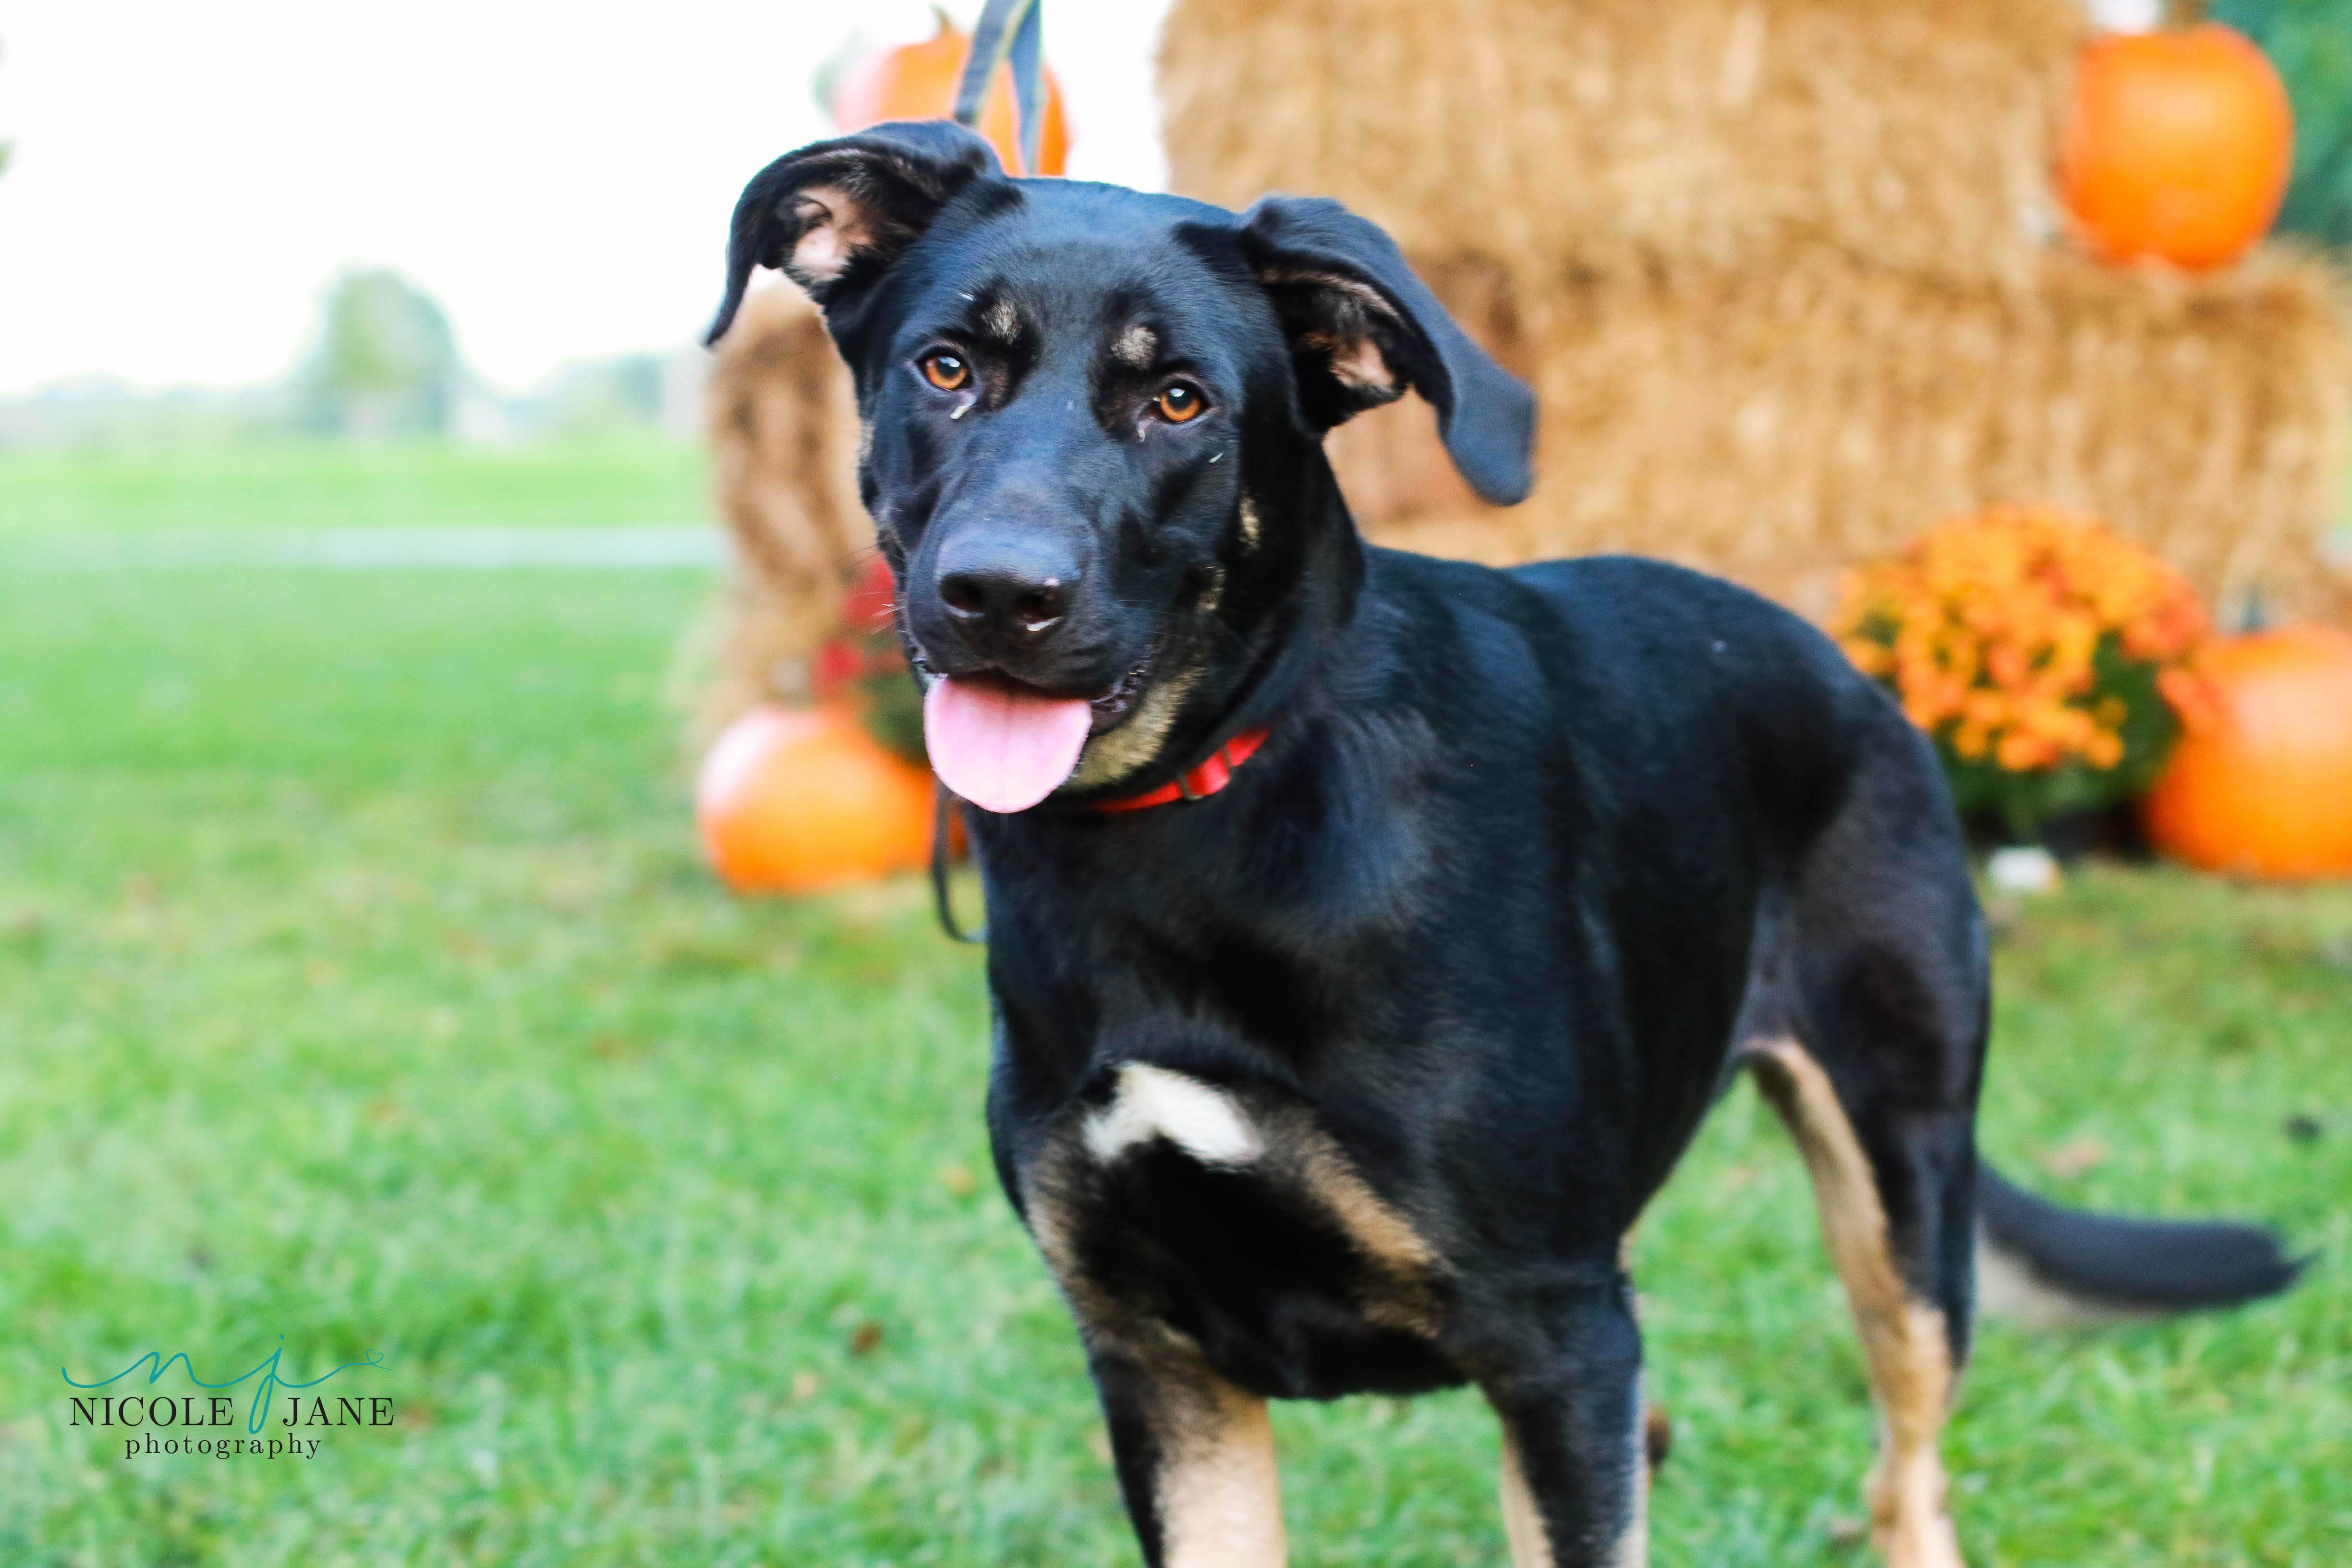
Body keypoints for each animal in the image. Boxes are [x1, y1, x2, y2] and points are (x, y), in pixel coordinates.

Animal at [710, 122, 2295, 1568]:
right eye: (945, 368)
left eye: (1177, 399)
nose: (996, 594)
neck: (1203, 810)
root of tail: (1838, 661)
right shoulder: (1157, 1355)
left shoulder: (1550, 1329)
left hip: (1901, 1179)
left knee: (1908, 1466)